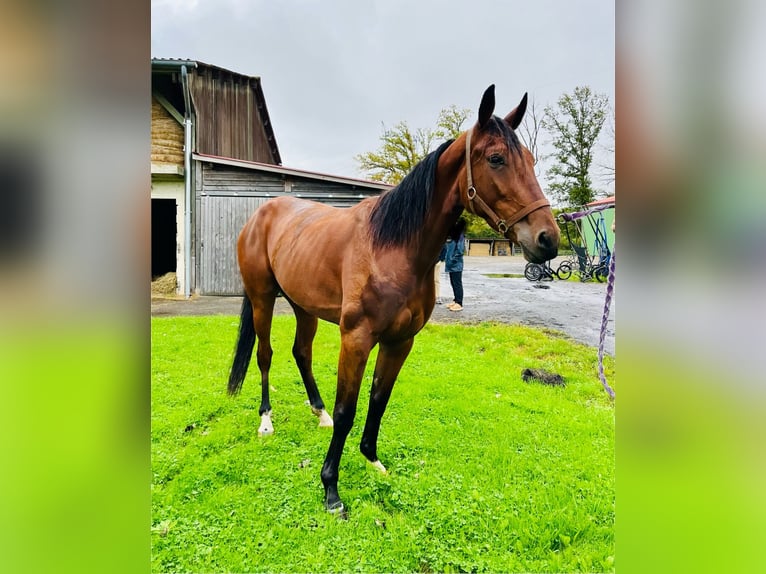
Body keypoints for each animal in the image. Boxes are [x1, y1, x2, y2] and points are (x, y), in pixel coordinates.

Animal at [228, 84, 560, 516]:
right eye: (496, 158)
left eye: (531, 160)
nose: (548, 239)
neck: (392, 247)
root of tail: (262, 214)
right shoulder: (356, 339)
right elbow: (348, 410)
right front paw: (331, 488)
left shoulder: (400, 341)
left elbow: (379, 399)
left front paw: (372, 459)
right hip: (262, 298)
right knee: (265, 354)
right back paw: (266, 421)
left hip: (304, 306)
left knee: (301, 353)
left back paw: (318, 412)